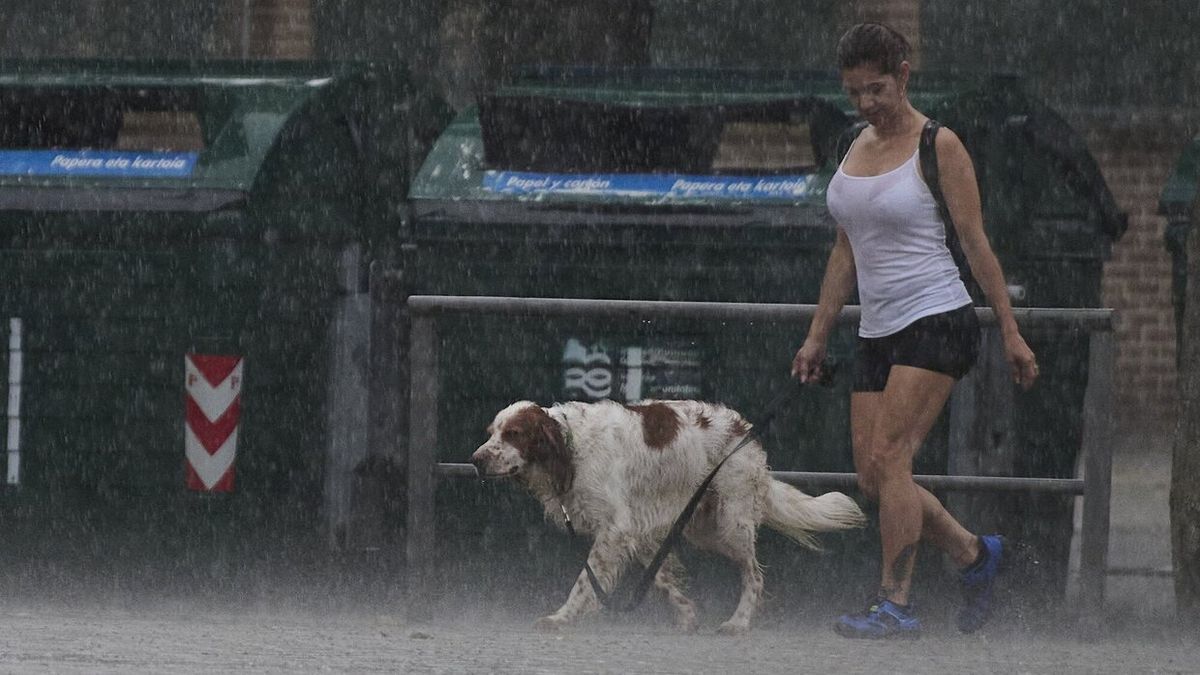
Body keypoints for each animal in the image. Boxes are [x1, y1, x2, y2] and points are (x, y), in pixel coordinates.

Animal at [465, 396, 864, 634]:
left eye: (514, 433)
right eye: (492, 432)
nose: (476, 460)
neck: (571, 447)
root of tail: (746, 430)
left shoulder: (614, 529)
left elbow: (584, 581)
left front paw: (562, 617)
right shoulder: (637, 531)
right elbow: (661, 578)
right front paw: (686, 614)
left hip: (730, 523)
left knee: (754, 574)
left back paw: (738, 622)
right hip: (704, 524)